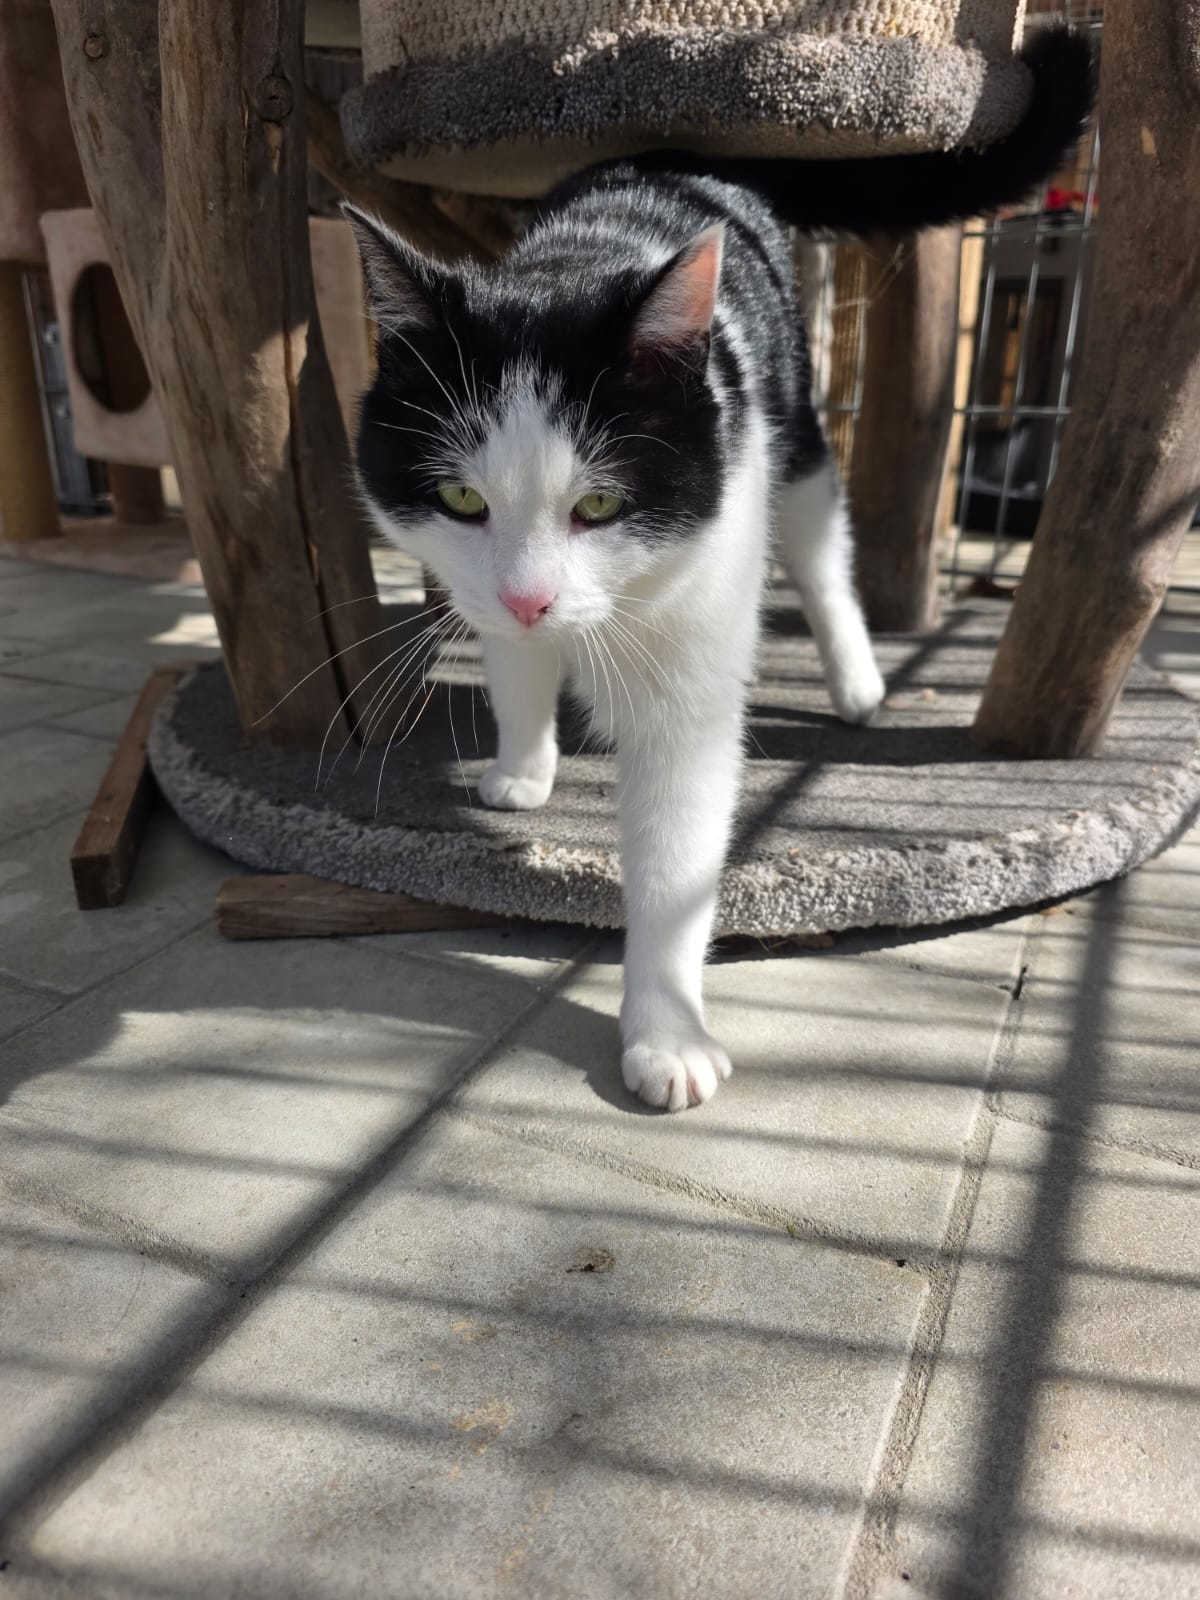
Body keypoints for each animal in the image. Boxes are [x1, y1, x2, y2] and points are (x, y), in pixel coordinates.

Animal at [347, 30, 1092, 1112]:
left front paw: (667, 1033)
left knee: (824, 554)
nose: (532, 596)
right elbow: (515, 669)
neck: (584, 257)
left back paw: (858, 679)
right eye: (459, 499)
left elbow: (677, 848)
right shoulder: (486, 591)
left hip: (796, 433)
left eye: (600, 505)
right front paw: (523, 765)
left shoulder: (702, 615)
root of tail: (683, 158)